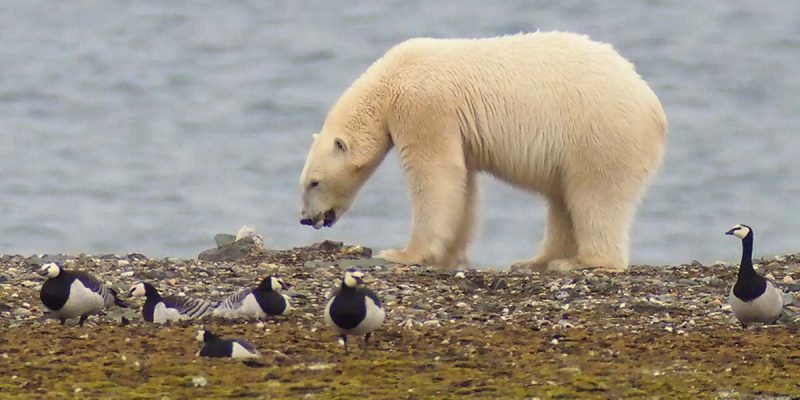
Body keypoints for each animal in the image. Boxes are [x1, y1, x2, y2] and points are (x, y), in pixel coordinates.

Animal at [299, 31, 667, 272]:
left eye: (313, 183)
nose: (306, 219)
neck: (389, 81)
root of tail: (654, 108)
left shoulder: (424, 107)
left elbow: (435, 173)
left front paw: (402, 254)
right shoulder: (457, 129)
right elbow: (463, 183)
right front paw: (448, 256)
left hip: (598, 134)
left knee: (595, 193)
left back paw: (579, 262)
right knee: (562, 198)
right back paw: (535, 260)